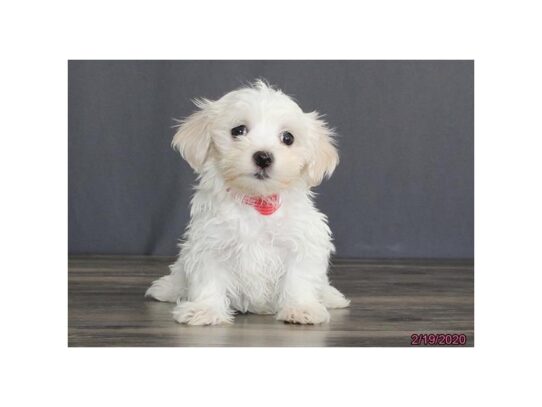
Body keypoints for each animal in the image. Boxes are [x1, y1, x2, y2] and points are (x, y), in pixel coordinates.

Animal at [147, 81, 350, 326]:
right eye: (238, 131)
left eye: (288, 138)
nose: (263, 157)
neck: (256, 200)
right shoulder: (210, 243)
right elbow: (208, 279)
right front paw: (205, 309)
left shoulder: (302, 243)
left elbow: (299, 278)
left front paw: (301, 308)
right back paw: (168, 288)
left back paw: (330, 296)